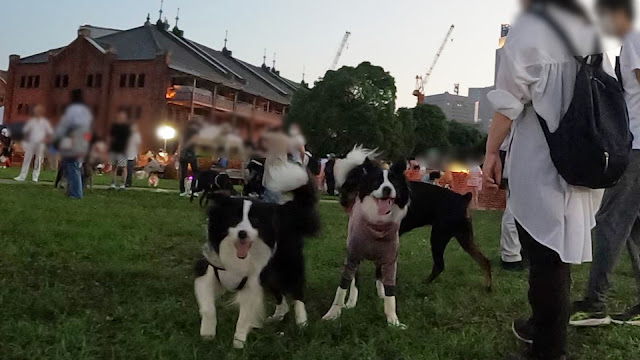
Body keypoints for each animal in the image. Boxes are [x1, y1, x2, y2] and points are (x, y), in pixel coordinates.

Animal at [192, 162, 318, 348]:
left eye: (256, 221)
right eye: (234, 219)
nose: (243, 234)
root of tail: (283, 210)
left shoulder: (251, 284)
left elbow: (244, 317)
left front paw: (238, 344)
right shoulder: (207, 272)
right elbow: (208, 308)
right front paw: (207, 335)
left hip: (288, 265)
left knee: (297, 292)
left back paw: (302, 323)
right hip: (270, 272)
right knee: (279, 294)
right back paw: (278, 316)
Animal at [320, 148, 410, 328]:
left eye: (394, 182)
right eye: (377, 182)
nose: (387, 189)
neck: (377, 225)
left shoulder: (389, 260)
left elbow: (390, 292)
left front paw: (393, 321)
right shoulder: (352, 257)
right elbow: (342, 288)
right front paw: (332, 314)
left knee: (378, 275)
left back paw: (380, 294)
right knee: (355, 281)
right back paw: (351, 302)